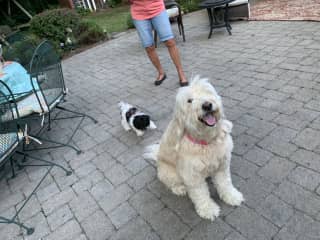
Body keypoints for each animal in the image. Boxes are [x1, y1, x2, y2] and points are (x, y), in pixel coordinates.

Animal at [144, 76, 244, 220]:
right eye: (189, 101)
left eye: (207, 92)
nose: (207, 105)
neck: (205, 141)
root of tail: (157, 159)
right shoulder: (192, 176)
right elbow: (200, 194)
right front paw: (208, 209)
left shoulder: (222, 165)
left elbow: (225, 183)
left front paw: (232, 196)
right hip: (171, 173)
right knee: (171, 183)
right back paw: (179, 188)